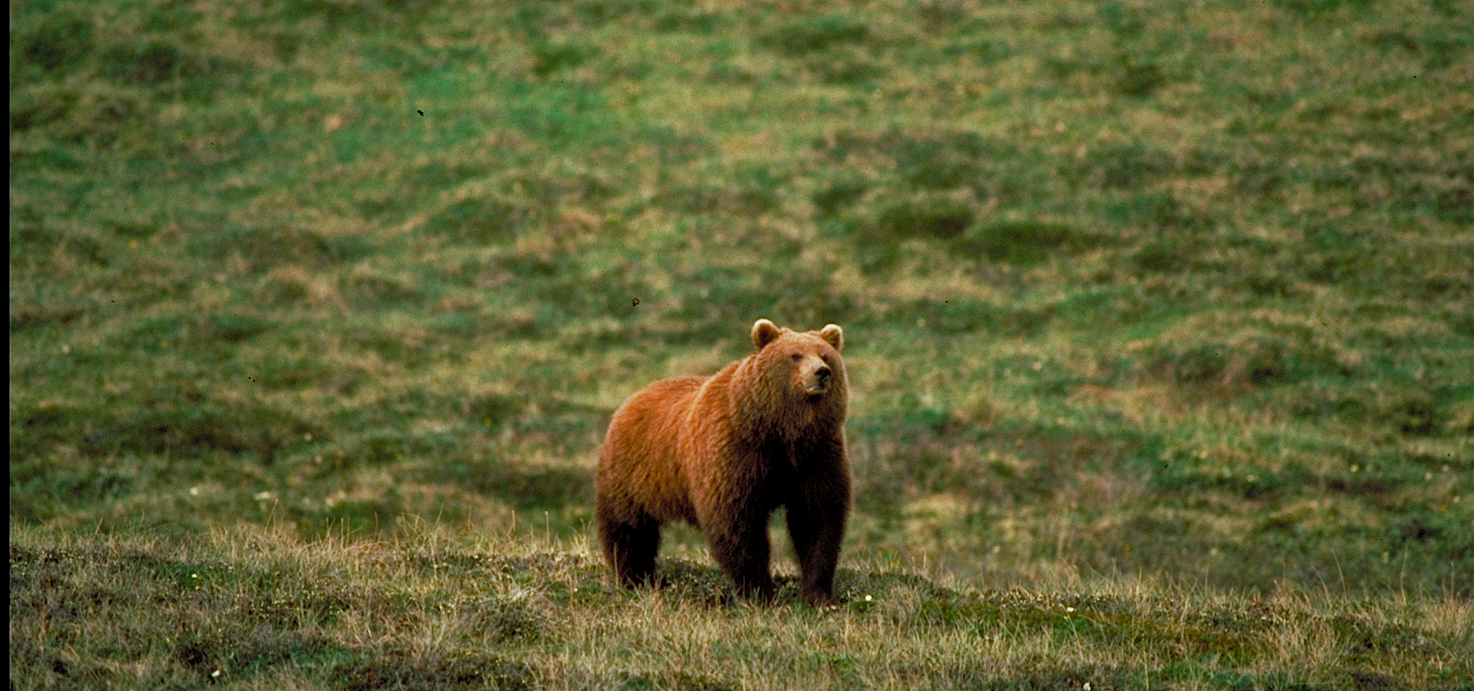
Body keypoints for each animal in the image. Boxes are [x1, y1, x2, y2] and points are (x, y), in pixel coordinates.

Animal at [595, 318, 854, 604]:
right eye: (795, 355)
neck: (778, 431)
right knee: (629, 527)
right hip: (634, 473)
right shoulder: (736, 453)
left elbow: (817, 518)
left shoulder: (815, 456)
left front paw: (818, 593)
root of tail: (634, 397)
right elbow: (737, 523)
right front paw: (758, 590)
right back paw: (634, 576)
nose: (822, 372)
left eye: (825, 355)